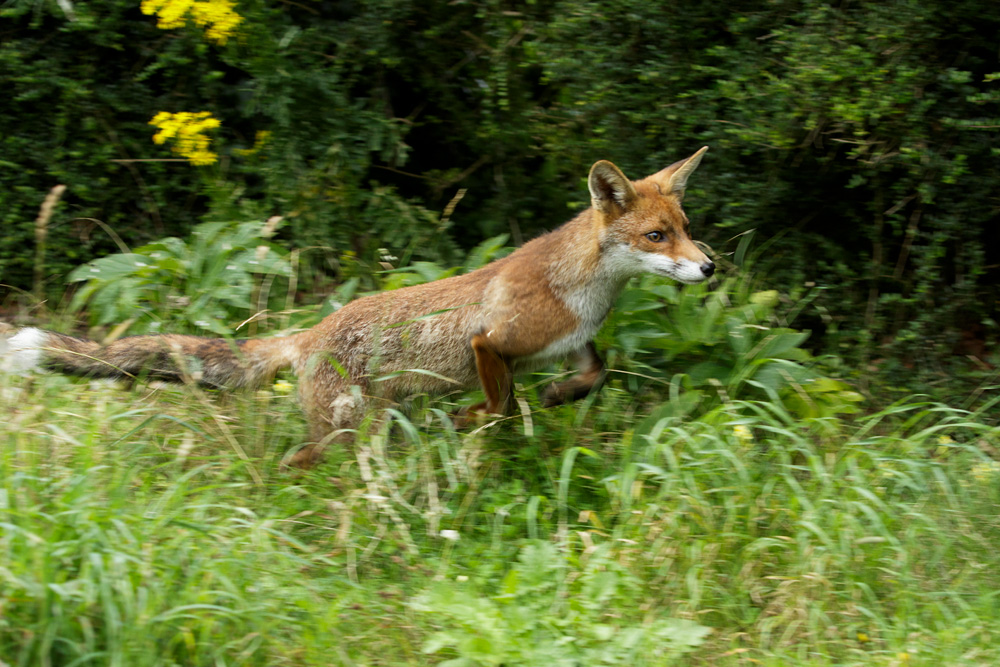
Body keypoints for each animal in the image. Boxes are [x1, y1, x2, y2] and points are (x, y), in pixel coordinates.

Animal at [3, 147, 716, 467]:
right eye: (657, 236)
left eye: (685, 226)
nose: (709, 266)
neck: (582, 290)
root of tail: (308, 332)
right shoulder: (492, 342)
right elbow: (497, 404)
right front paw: (468, 420)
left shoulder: (575, 344)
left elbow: (594, 376)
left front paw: (557, 398)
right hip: (345, 431)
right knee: (301, 462)